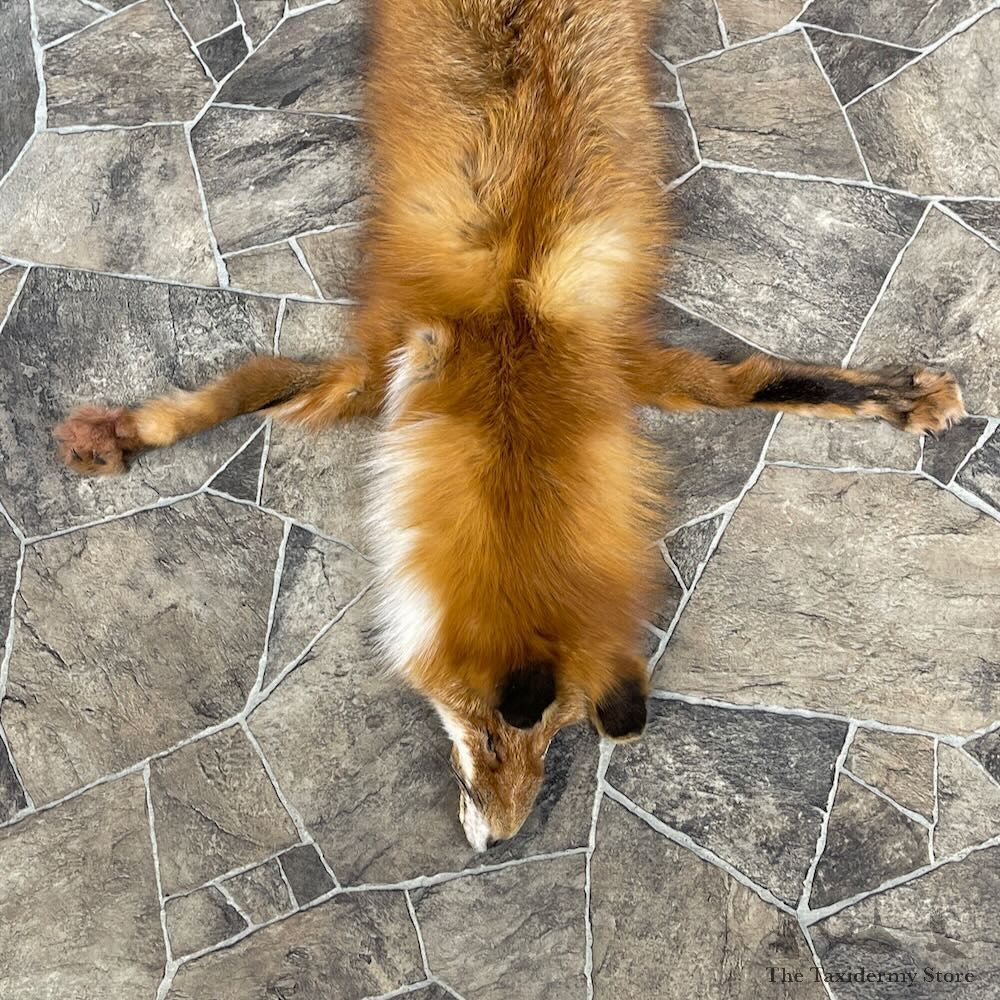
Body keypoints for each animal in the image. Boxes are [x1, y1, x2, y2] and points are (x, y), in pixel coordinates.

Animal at [54, 0, 964, 851]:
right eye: (489, 736)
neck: (510, 363)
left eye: (552, 741)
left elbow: (761, 382)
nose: (499, 842)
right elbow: (242, 389)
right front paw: (128, 433)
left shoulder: (620, 366)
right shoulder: (388, 359)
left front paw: (898, 397)